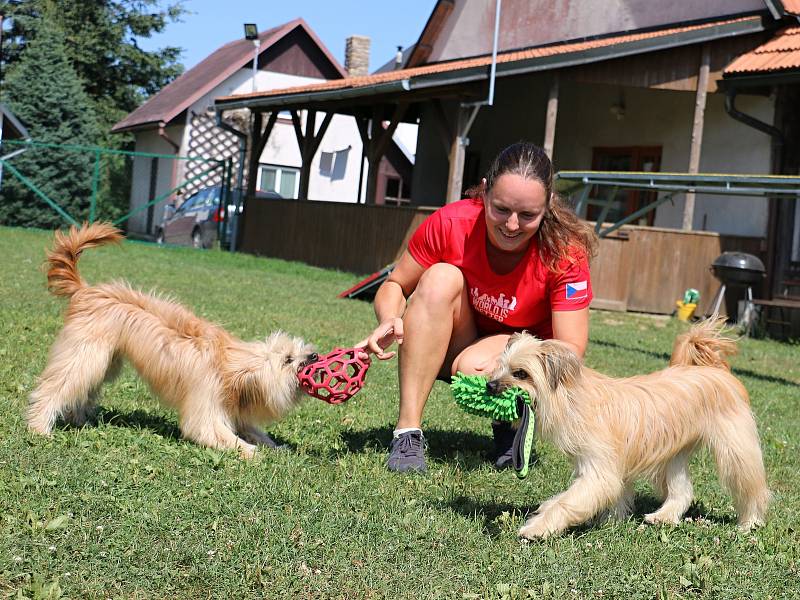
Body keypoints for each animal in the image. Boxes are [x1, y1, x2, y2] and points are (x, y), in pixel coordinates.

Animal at [28, 223, 316, 458]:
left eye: (300, 348)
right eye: (288, 360)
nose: (313, 356)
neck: (229, 365)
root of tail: (86, 291)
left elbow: (253, 429)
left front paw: (275, 446)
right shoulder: (206, 402)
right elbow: (210, 431)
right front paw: (249, 450)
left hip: (105, 360)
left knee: (82, 390)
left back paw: (79, 420)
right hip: (85, 354)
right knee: (57, 385)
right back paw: (39, 426)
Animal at [488, 322, 768, 540]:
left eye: (521, 373)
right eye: (501, 366)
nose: (490, 385)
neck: (572, 398)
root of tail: (715, 369)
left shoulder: (599, 471)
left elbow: (567, 501)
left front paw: (538, 527)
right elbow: (617, 495)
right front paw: (612, 520)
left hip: (735, 451)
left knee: (752, 488)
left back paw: (750, 522)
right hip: (673, 455)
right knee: (682, 491)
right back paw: (663, 516)